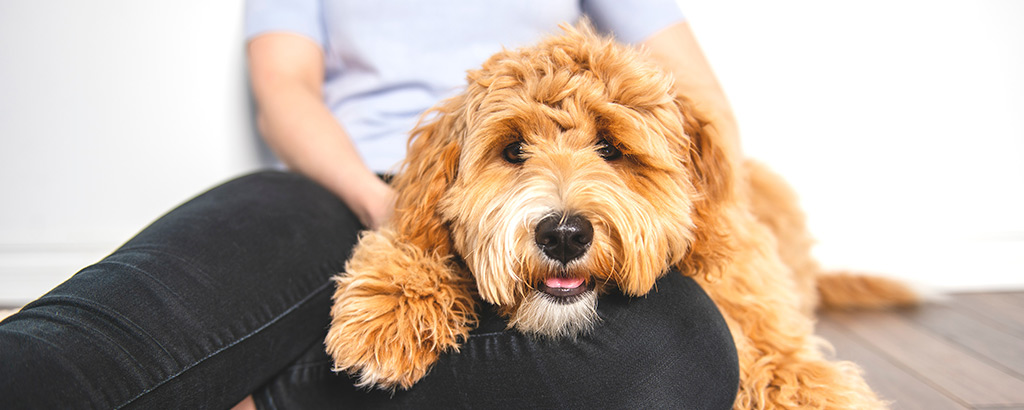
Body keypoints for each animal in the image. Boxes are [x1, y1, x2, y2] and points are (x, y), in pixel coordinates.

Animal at [323, 24, 917, 407]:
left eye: (610, 148)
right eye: (514, 150)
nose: (563, 235)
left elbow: (789, 371)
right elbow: (415, 241)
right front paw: (388, 313)